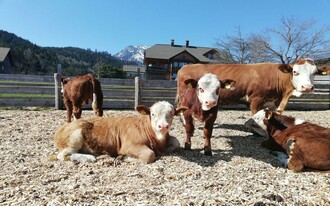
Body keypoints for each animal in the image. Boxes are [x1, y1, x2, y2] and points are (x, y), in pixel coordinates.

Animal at [55, 100, 187, 163]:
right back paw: (89, 158)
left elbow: (176, 142)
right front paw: (126, 157)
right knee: (63, 155)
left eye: (171, 114)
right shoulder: (128, 145)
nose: (163, 126)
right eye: (152, 114)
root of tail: (62, 127)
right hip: (75, 137)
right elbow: (149, 154)